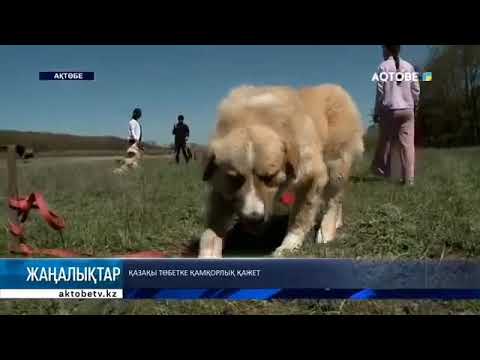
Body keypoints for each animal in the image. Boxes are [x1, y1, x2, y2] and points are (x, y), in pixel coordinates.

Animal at [199, 83, 364, 258]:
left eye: (269, 177)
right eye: (235, 179)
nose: (254, 219)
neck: (254, 118)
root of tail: (335, 87)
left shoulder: (313, 176)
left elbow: (300, 216)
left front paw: (289, 245)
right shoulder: (221, 188)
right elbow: (211, 230)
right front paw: (208, 251)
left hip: (336, 165)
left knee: (334, 200)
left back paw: (327, 231)